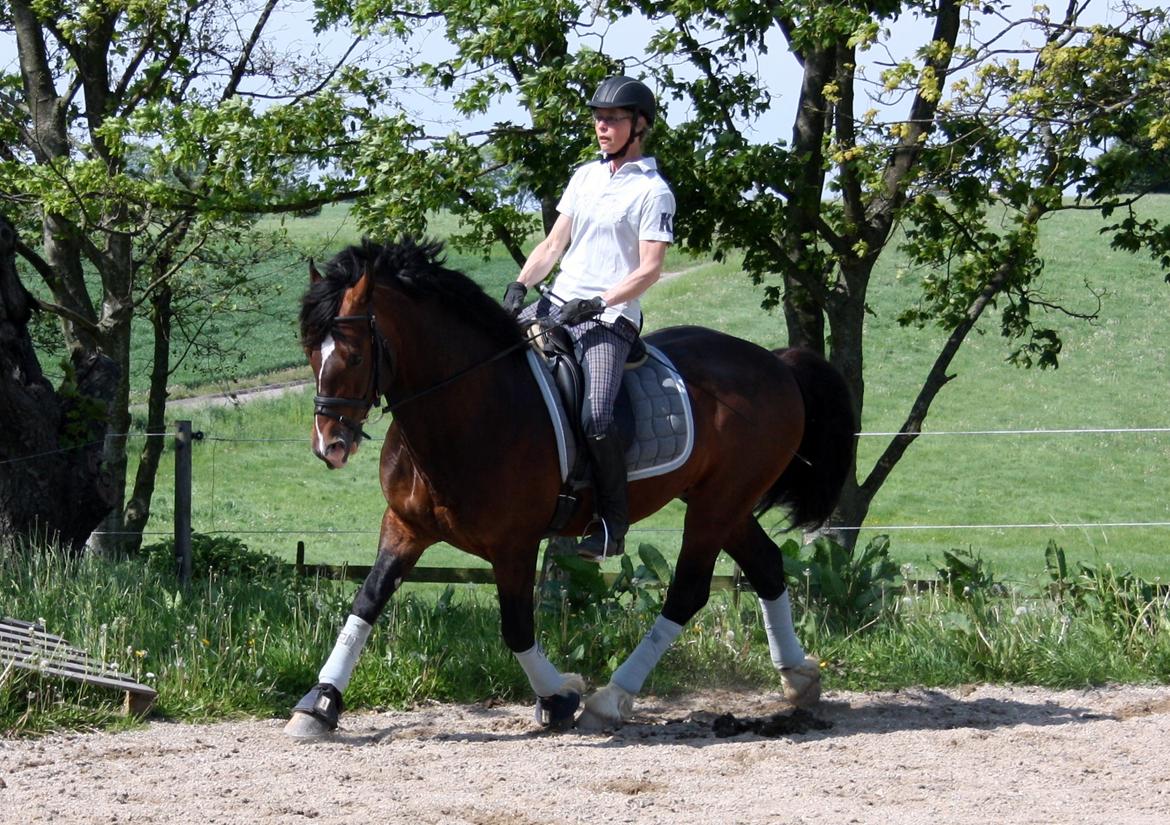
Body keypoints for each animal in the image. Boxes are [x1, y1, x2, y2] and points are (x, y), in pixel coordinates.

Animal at [280, 236, 851, 734]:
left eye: (354, 356)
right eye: (309, 353)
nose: (329, 445)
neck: (467, 407)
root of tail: (775, 362)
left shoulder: (512, 545)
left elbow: (515, 628)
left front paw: (559, 697)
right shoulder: (404, 526)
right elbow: (367, 601)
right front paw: (320, 703)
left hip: (716, 506)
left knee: (687, 593)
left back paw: (611, 698)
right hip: (724, 503)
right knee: (767, 566)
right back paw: (799, 678)